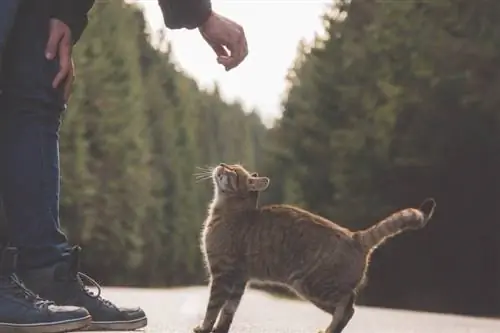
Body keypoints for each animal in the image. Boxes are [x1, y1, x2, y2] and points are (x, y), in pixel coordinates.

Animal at [193, 163, 436, 332]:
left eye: (232, 170)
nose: (221, 163)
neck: (228, 211)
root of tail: (355, 236)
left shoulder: (223, 273)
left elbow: (213, 307)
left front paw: (204, 328)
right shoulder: (240, 278)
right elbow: (229, 310)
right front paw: (219, 329)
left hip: (311, 284)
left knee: (348, 304)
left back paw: (330, 329)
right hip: (313, 291)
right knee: (348, 308)